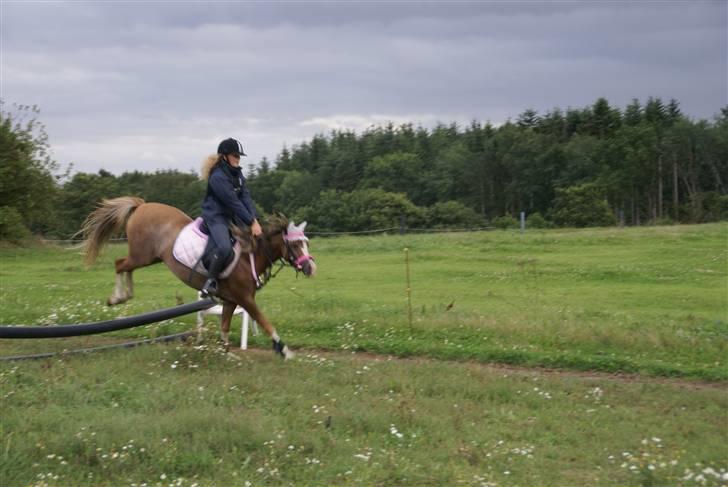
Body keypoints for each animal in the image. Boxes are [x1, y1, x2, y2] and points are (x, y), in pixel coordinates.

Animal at [77, 196, 316, 360]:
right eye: (295, 244)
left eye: (306, 242)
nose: (311, 268)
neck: (249, 255)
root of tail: (142, 205)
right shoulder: (245, 299)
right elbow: (265, 322)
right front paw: (284, 350)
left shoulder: (231, 301)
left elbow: (224, 327)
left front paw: (227, 353)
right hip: (141, 255)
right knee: (119, 264)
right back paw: (117, 297)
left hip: (149, 257)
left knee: (125, 267)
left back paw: (125, 295)